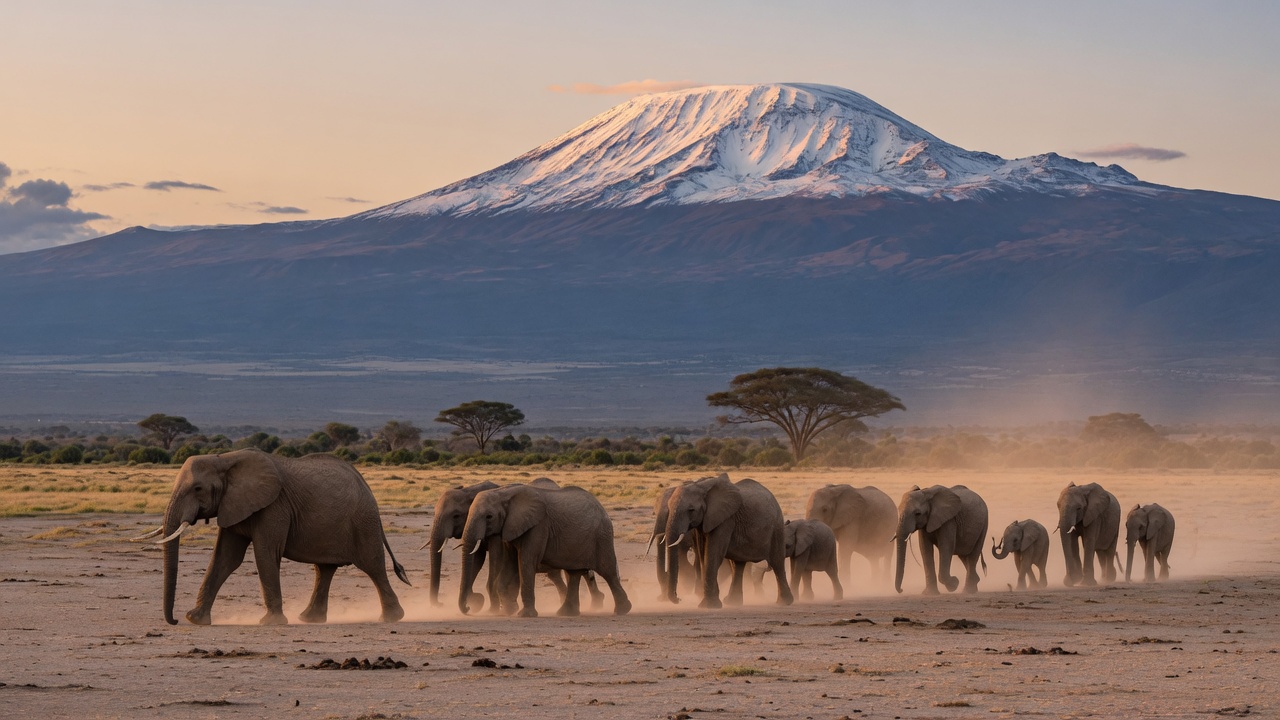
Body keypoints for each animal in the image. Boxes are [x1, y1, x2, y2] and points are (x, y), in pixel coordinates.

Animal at [138, 449, 409, 626]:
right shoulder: (234, 504)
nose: (174, 621)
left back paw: (391, 618)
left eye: (198, 489)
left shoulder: (274, 506)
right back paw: (309, 619)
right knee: (324, 569)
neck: (224, 460)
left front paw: (271, 623)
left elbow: (265, 553)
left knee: (372, 565)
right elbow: (225, 558)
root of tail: (365, 484)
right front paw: (195, 619)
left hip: (364, 521)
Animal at [427, 479, 604, 613]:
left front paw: (492, 609)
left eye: (456, 516)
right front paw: (477, 602)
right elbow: (476, 558)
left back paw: (596, 603)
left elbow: (495, 558)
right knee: (557, 573)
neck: (470, 489)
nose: (440, 604)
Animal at [459, 483, 631, 617]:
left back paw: (622, 610)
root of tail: (602, 508)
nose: (469, 607)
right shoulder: (509, 527)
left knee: (608, 571)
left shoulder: (538, 526)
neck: (504, 493)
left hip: (602, 536)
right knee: (573, 574)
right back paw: (566, 613)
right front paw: (508, 610)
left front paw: (524, 615)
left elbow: (526, 562)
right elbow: (510, 564)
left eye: (489, 516)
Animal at [663, 473, 793, 608]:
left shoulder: (725, 520)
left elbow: (713, 554)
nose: (678, 599)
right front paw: (712, 603)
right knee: (738, 565)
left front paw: (709, 606)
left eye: (691, 510)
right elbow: (704, 555)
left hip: (776, 527)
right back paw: (733, 602)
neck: (702, 486)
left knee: (777, 562)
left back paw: (784, 602)